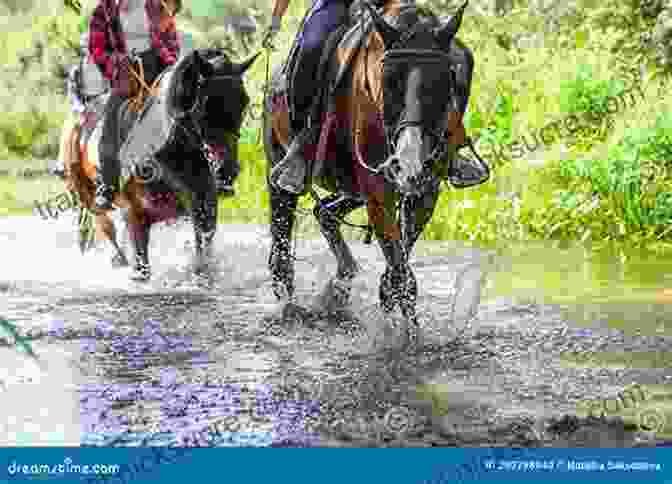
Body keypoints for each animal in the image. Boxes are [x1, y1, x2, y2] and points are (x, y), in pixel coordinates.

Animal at [59, 48, 258, 280]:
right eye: (207, 104)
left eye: (243, 101)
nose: (227, 171)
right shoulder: (134, 214)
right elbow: (142, 268)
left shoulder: (204, 207)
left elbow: (203, 254)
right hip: (87, 196)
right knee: (106, 227)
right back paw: (118, 259)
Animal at [266, 0, 476, 348]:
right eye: (388, 80)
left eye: (444, 82)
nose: (408, 165)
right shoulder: (379, 194)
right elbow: (403, 276)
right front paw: (408, 341)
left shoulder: (424, 192)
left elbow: (397, 273)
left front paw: (403, 327)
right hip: (281, 170)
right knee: (281, 254)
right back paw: (290, 309)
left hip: (352, 188)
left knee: (325, 213)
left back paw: (340, 285)